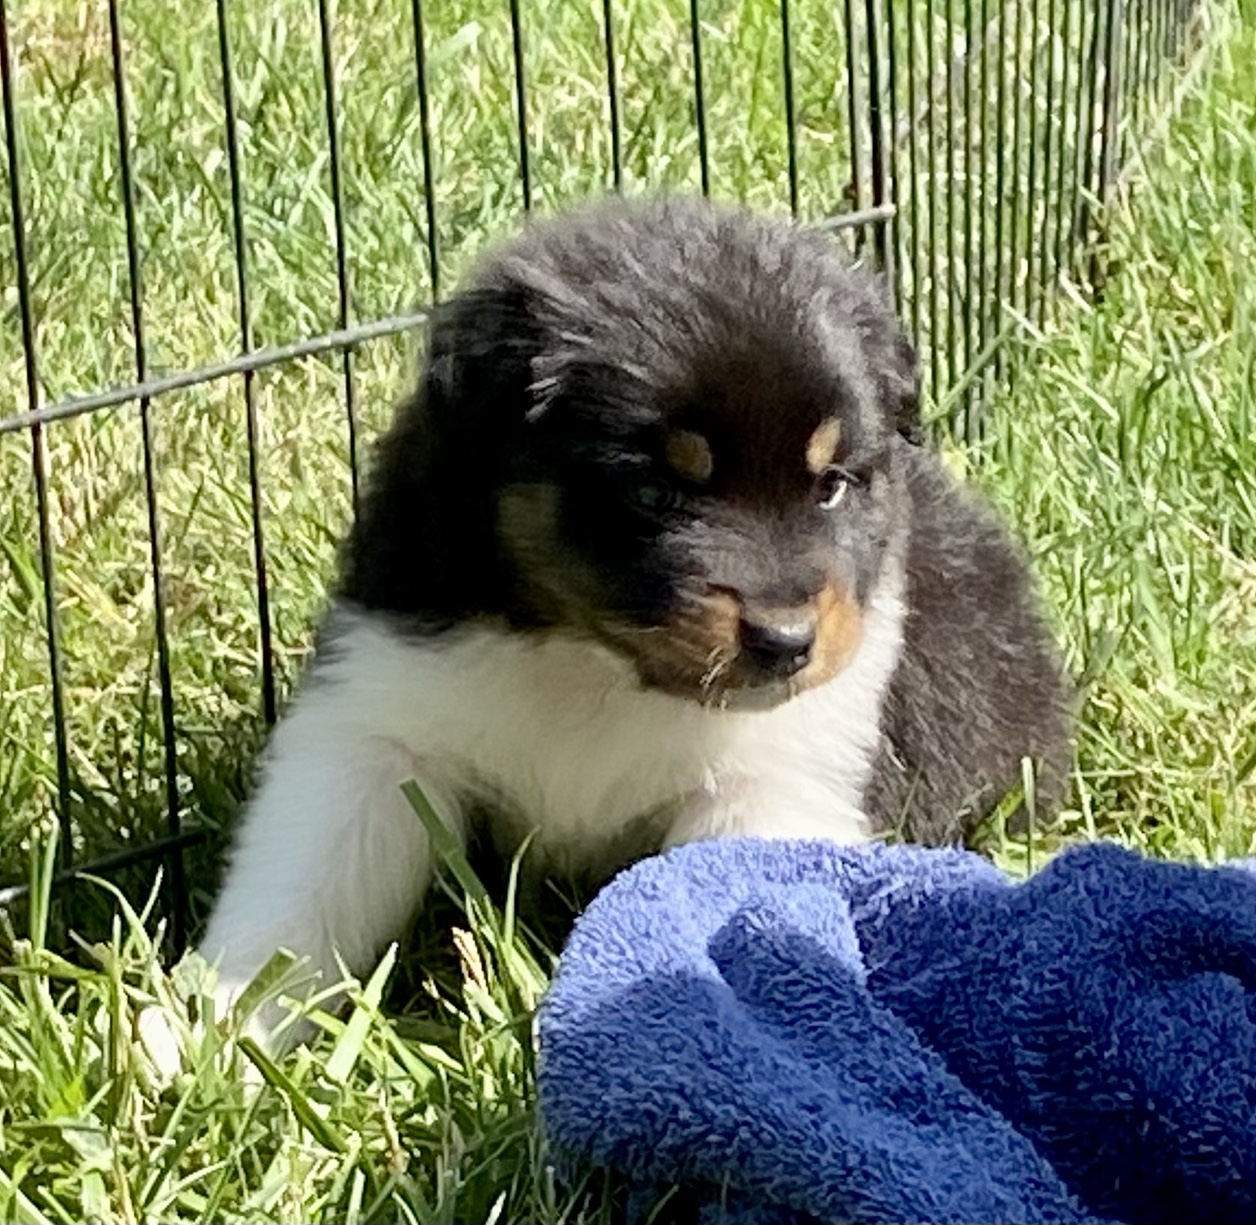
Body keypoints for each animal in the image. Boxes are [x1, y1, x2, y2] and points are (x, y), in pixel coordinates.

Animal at [198, 197, 1071, 1039]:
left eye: (831, 485)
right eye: (653, 492)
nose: (787, 643)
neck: (597, 666)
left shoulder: (780, 779)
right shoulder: (376, 726)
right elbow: (292, 905)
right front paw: (209, 1030)